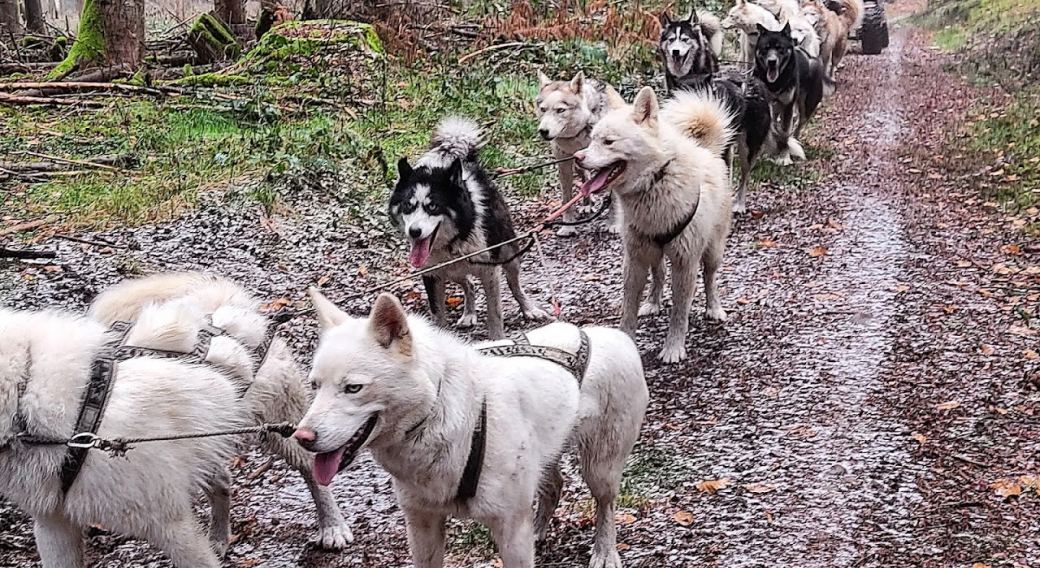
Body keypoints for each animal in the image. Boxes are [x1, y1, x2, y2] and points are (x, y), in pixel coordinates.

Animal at [297, 291, 644, 565]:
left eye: (353, 388)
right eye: (314, 385)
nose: (301, 437)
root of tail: (610, 335)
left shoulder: (511, 532)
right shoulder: (423, 526)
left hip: (600, 470)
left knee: (605, 506)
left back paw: (605, 552)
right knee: (554, 486)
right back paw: (540, 531)